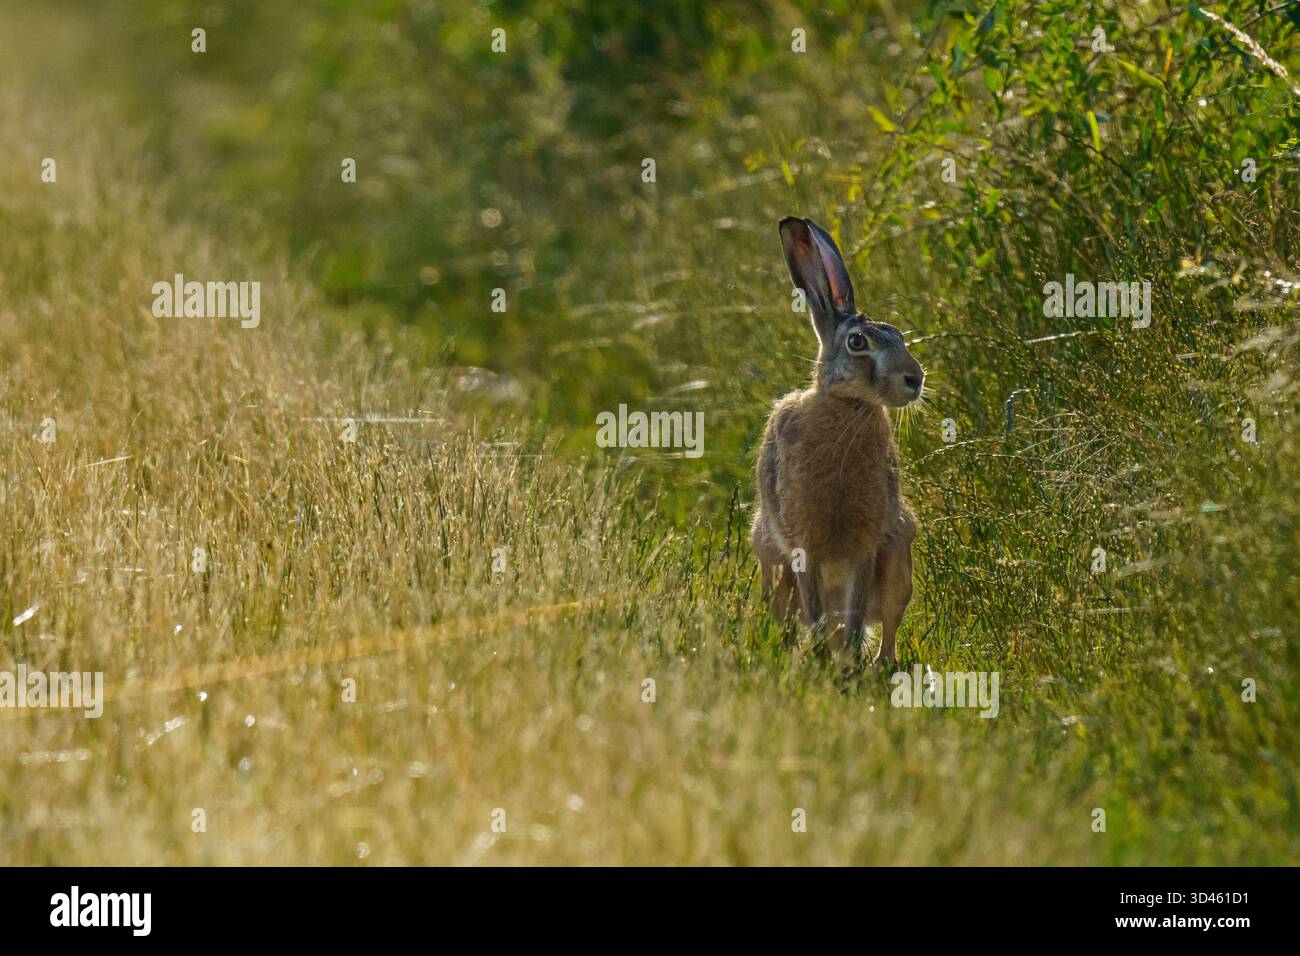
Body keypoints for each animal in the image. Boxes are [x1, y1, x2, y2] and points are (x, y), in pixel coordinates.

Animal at [751, 217, 924, 666]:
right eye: (857, 342)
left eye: (898, 335)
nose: (915, 379)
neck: (850, 406)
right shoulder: (803, 544)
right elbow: (815, 611)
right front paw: (825, 657)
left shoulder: (868, 542)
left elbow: (858, 610)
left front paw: (845, 658)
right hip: (772, 564)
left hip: (898, 562)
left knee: (887, 625)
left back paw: (876, 665)